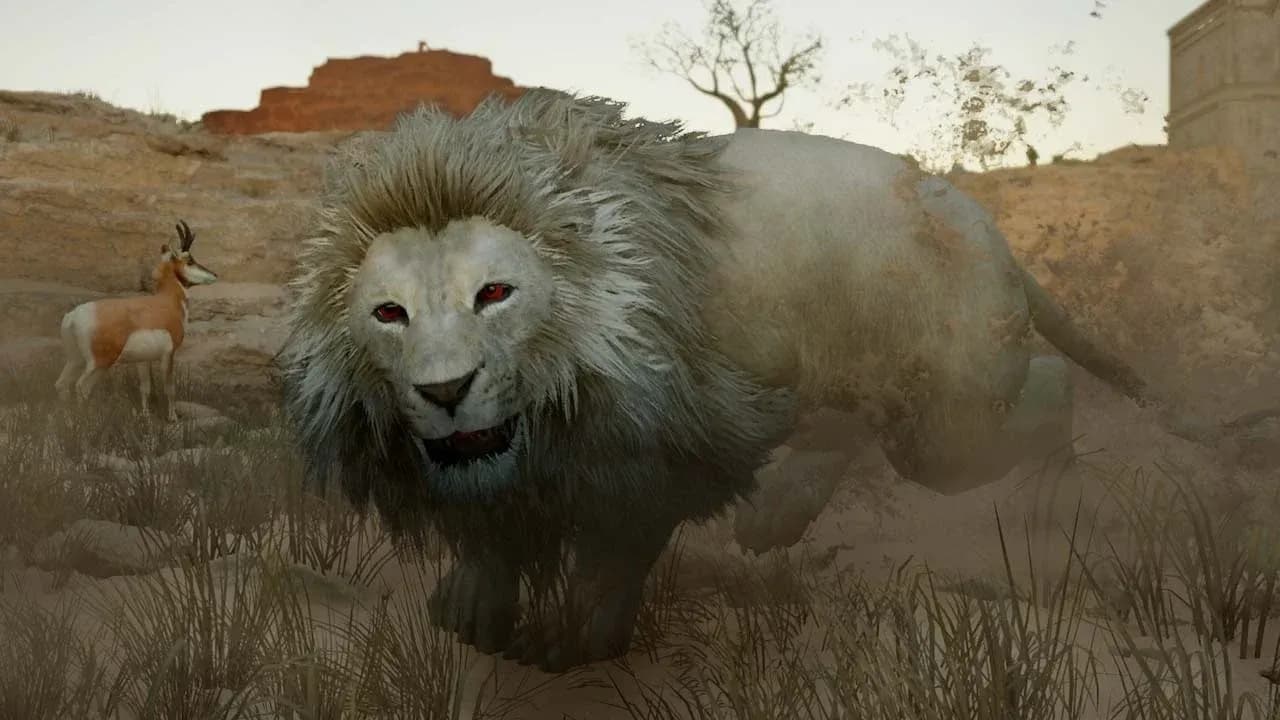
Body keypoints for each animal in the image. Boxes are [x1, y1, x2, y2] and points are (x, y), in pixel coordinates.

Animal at [277, 88, 1242, 672]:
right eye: (389, 314)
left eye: (495, 293)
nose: (445, 392)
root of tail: (989, 225)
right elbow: (489, 533)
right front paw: (472, 611)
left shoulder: (669, 444)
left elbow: (617, 551)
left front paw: (576, 637)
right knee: (850, 424)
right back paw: (785, 511)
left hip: (948, 415)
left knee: (1047, 387)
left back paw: (1043, 496)